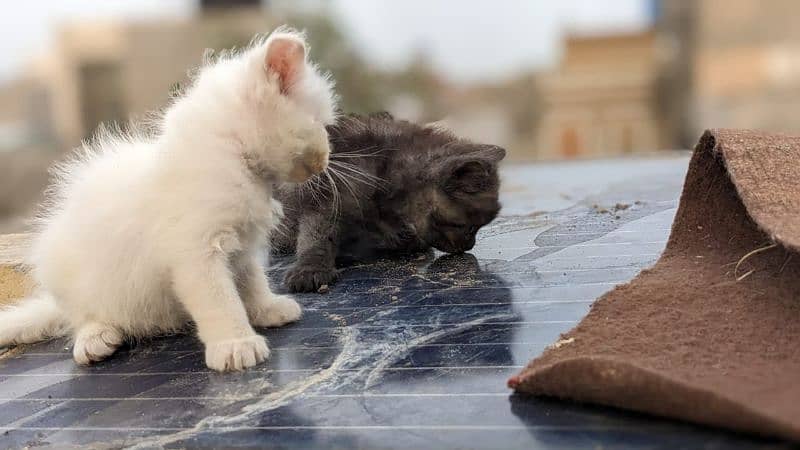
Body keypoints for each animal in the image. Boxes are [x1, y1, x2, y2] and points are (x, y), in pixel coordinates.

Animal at [0, 27, 334, 372]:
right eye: (321, 122)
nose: (326, 158)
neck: (232, 152)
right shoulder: (196, 252)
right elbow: (221, 301)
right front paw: (235, 344)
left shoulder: (242, 249)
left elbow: (252, 282)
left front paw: (267, 309)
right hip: (65, 272)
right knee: (81, 317)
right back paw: (95, 339)